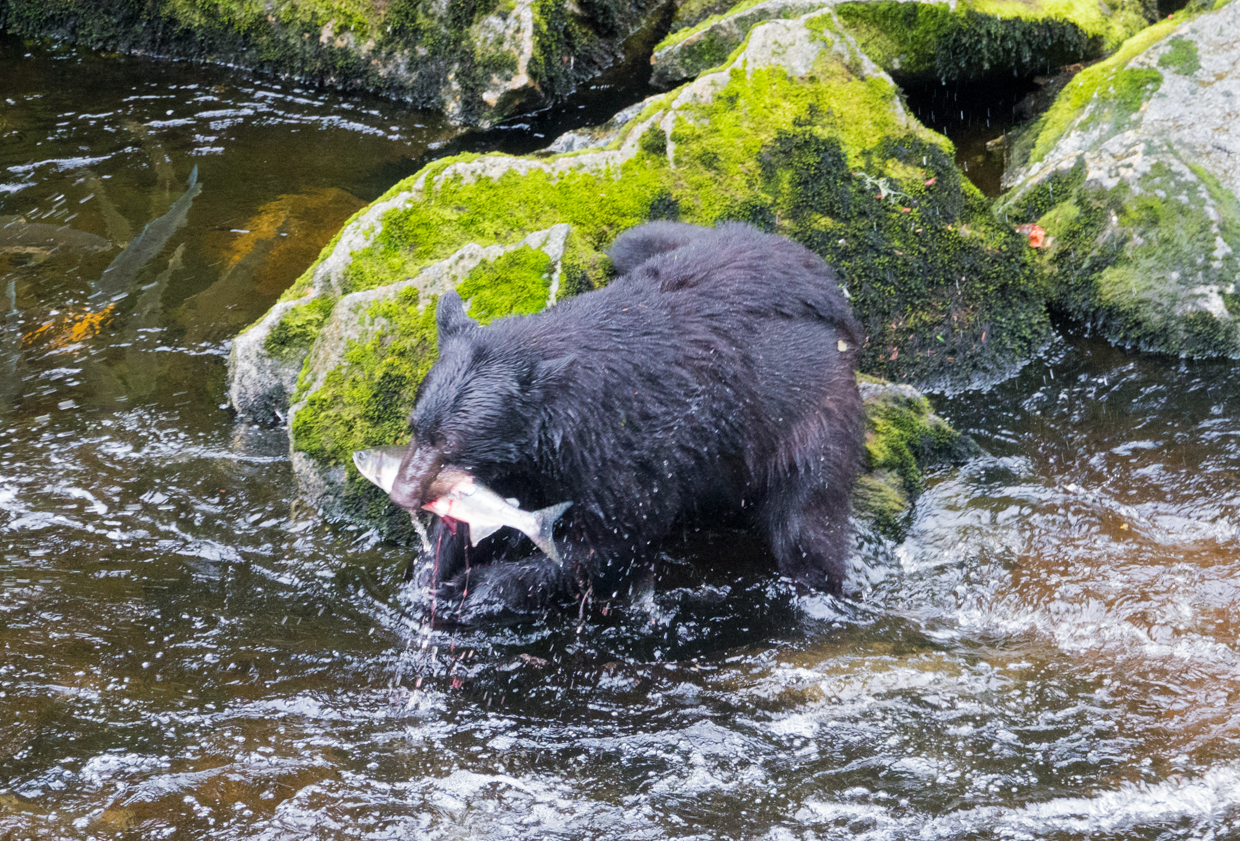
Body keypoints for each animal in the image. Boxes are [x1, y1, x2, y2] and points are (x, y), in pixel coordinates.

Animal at [389, 220, 863, 622]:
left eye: (450, 442)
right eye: (416, 427)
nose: (402, 493)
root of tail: (827, 288)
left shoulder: (622, 451)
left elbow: (612, 541)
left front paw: (474, 589)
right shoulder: (521, 468)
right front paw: (433, 571)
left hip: (807, 413)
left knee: (806, 523)